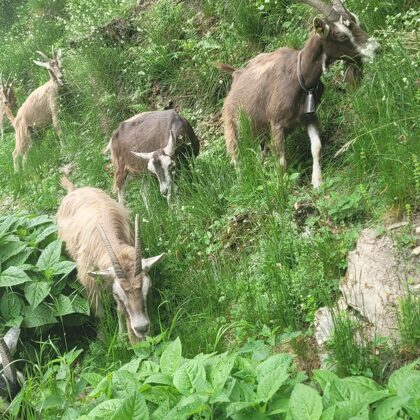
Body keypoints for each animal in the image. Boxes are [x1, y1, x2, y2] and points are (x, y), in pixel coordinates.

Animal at [56, 176, 165, 344]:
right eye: (118, 294)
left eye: (147, 288)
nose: (142, 328)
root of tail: (74, 190)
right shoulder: (90, 282)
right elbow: (99, 312)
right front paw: (103, 337)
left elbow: (120, 310)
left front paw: (121, 335)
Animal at [217, 0, 380, 188]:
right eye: (341, 35)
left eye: (356, 20)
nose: (376, 49)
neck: (299, 77)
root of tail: (236, 74)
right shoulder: (276, 124)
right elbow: (281, 161)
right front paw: (283, 187)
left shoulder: (309, 115)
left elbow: (316, 146)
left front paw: (317, 182)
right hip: (232, 125)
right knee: (235, 156)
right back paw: (242, 182)